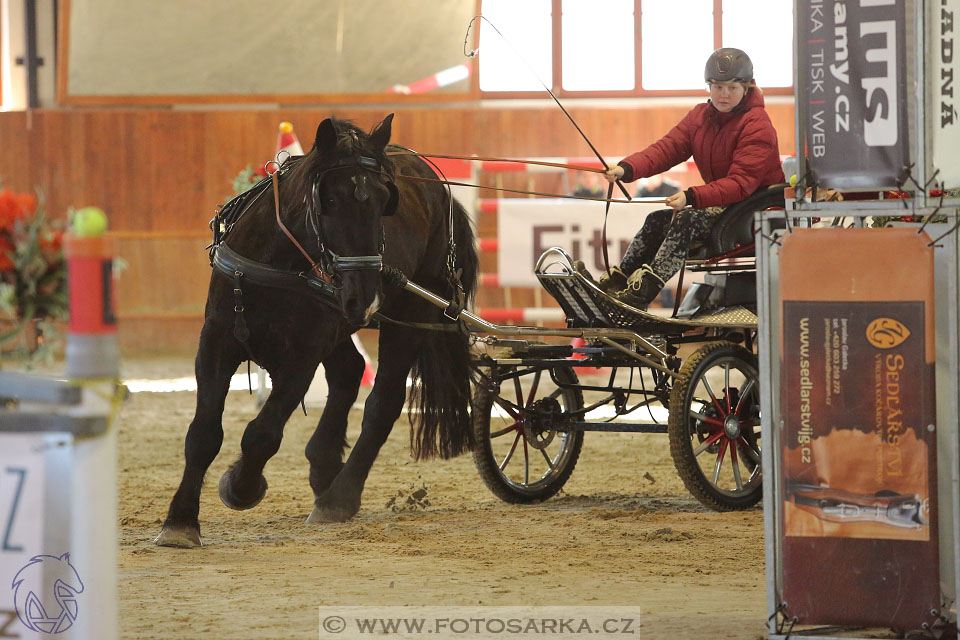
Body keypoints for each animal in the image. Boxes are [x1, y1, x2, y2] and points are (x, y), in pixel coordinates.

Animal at [157, 114, 480, 544]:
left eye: (385, 201)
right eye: (331, 200)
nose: (366, 297)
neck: (273, 266)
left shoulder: (302, 359)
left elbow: (262, 434)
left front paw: (241, 486)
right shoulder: (215, 343)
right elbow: (203, 434)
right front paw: (180, 521)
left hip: (412, 312)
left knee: (383, 402)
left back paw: (339, 496)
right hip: (342, 321)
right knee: (349, 373)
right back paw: (324, 466)